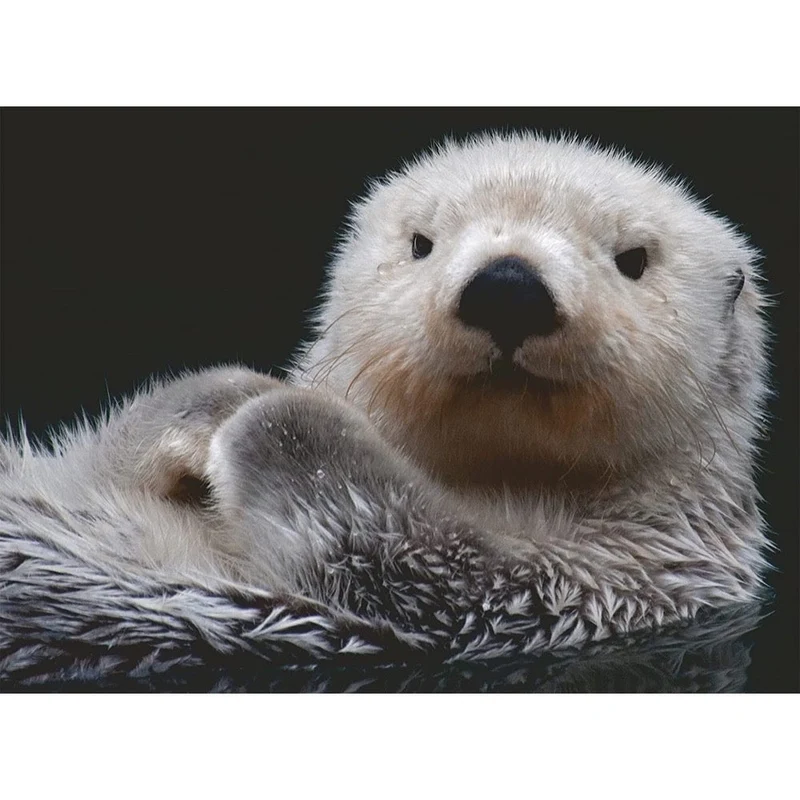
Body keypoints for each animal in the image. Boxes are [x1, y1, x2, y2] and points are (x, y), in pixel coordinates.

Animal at [0, 133, 770, 667]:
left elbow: (409, 551)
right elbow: (104, 454)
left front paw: (273, 414)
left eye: (634, 259)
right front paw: (219, 400)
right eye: (422, 243)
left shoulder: (601, 582)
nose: (508, 287)